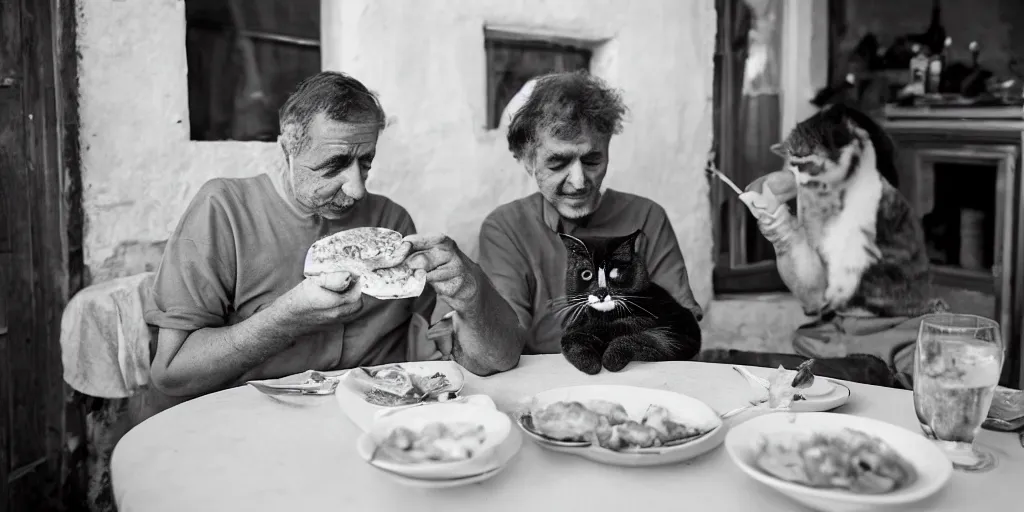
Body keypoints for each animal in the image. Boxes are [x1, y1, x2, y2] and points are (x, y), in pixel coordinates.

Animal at [552, 230, 704, 374]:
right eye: (586, 274)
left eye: (615, 272)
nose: (600, 292)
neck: (606, 318)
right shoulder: (575, 327)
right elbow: (569, 339)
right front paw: (590, 363)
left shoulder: (679, 336)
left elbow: (647, 338)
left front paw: (611, 358)